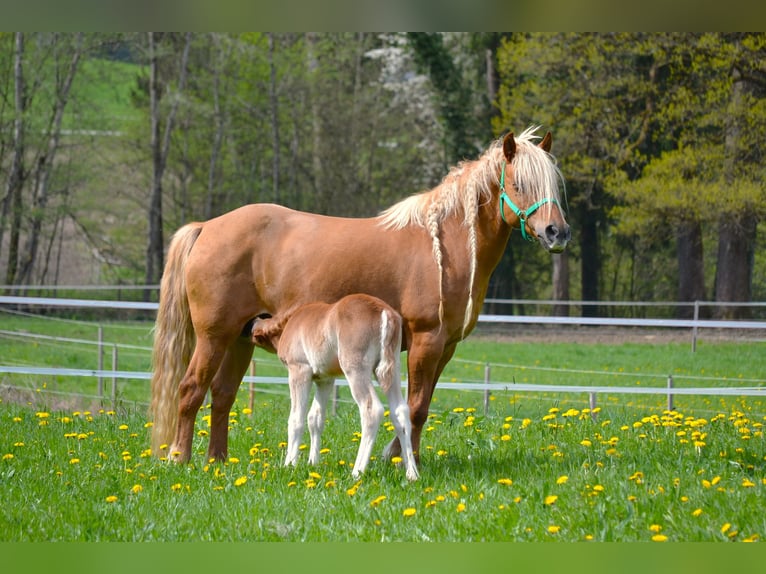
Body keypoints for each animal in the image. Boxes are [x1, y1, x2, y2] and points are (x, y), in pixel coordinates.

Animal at [250, 294, 419, 481]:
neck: (292, 322)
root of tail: (384, 312)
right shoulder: (325, 380)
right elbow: (315, 418)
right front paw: (312, 463)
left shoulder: (299, 371)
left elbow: (296, 419)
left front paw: (289, 465)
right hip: (390, 369)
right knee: (401, 411)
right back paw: (412, 474)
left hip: (355, 368)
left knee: (371, 409)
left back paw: (357, 471)